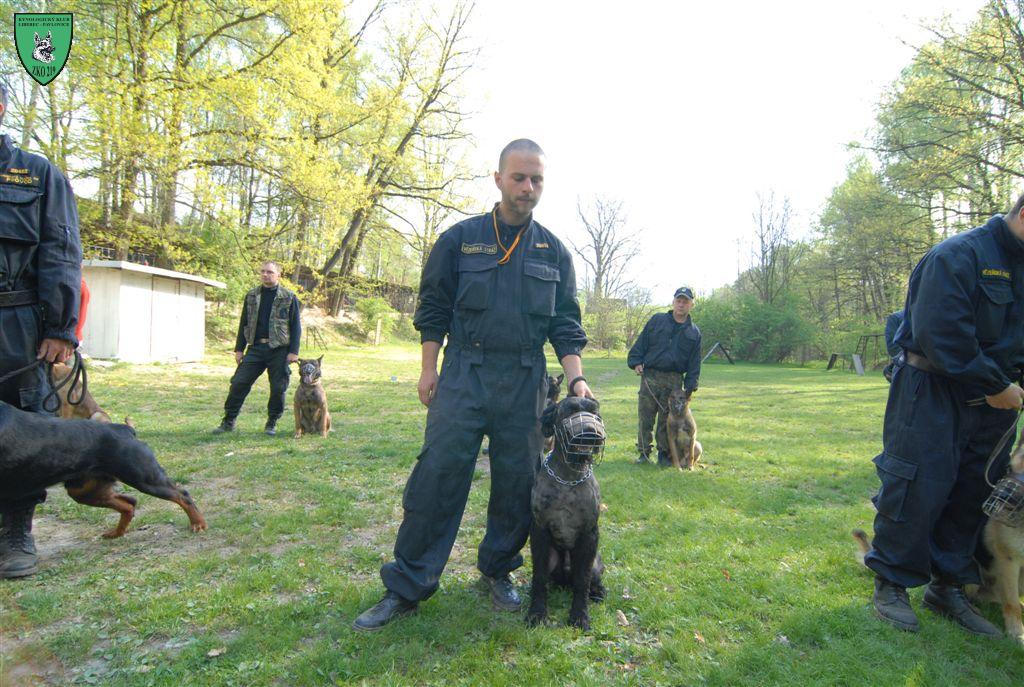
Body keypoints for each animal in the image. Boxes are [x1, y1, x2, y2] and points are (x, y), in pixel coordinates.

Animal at [0, 401, 206, 539]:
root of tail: (124, 429)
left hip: (144, 477)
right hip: (85, 490)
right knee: (129, 503)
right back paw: (116, 533)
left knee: (181, 494)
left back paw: (198, 524)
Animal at [528, 395, 606, 630]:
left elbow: (583, 581)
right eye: (570, 410)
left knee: (591, 580)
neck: (568, 479)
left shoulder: (589, 535)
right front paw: (537, 613)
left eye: (595, 413)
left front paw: (580, 615)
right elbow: (539, 577)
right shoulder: (539, 531)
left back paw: (598, 592)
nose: (590, 432)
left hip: (596, 562)